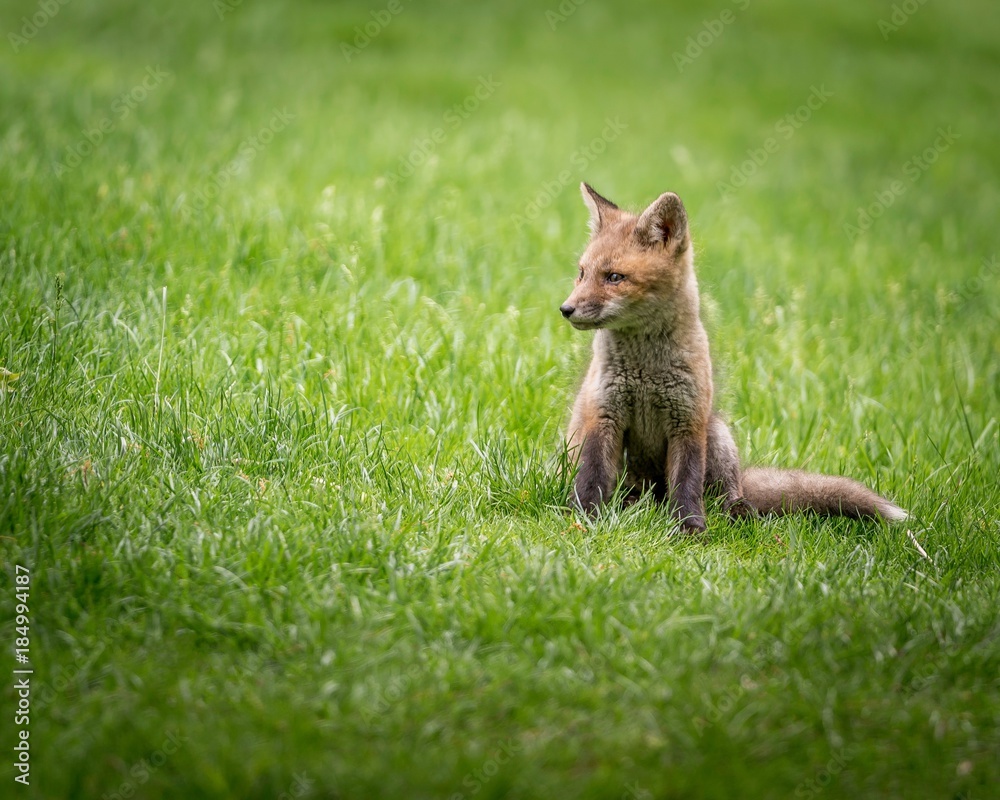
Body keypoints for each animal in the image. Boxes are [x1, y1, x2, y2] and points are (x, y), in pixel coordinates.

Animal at [560, 182, 907, 533]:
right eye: (582, 273)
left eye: (614, 277)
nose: (566, 309)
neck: (646, 371)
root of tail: (650, 496)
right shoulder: (603, 416)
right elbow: (592, 478)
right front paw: (584, 520)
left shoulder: (688, 422)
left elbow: (687, 483)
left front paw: (689, 529)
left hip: (716, 433)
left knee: (723, 493)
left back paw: (736, 511)